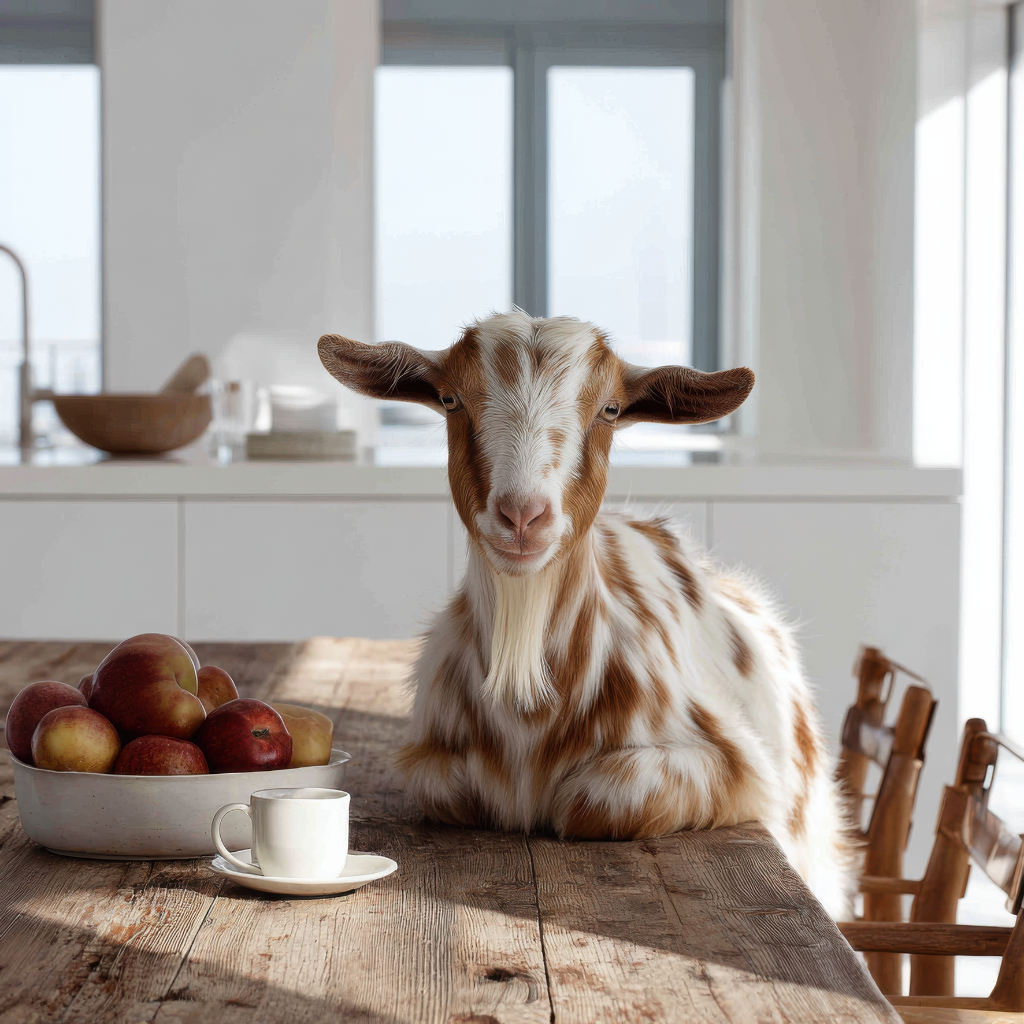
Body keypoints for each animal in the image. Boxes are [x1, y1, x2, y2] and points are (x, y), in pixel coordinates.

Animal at [319, 311, 853, 917]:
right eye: (451, 399)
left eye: (611, 409)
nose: (522, 515)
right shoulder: (434, 763)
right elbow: (461, 789)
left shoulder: (740, 769)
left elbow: (590, 797)